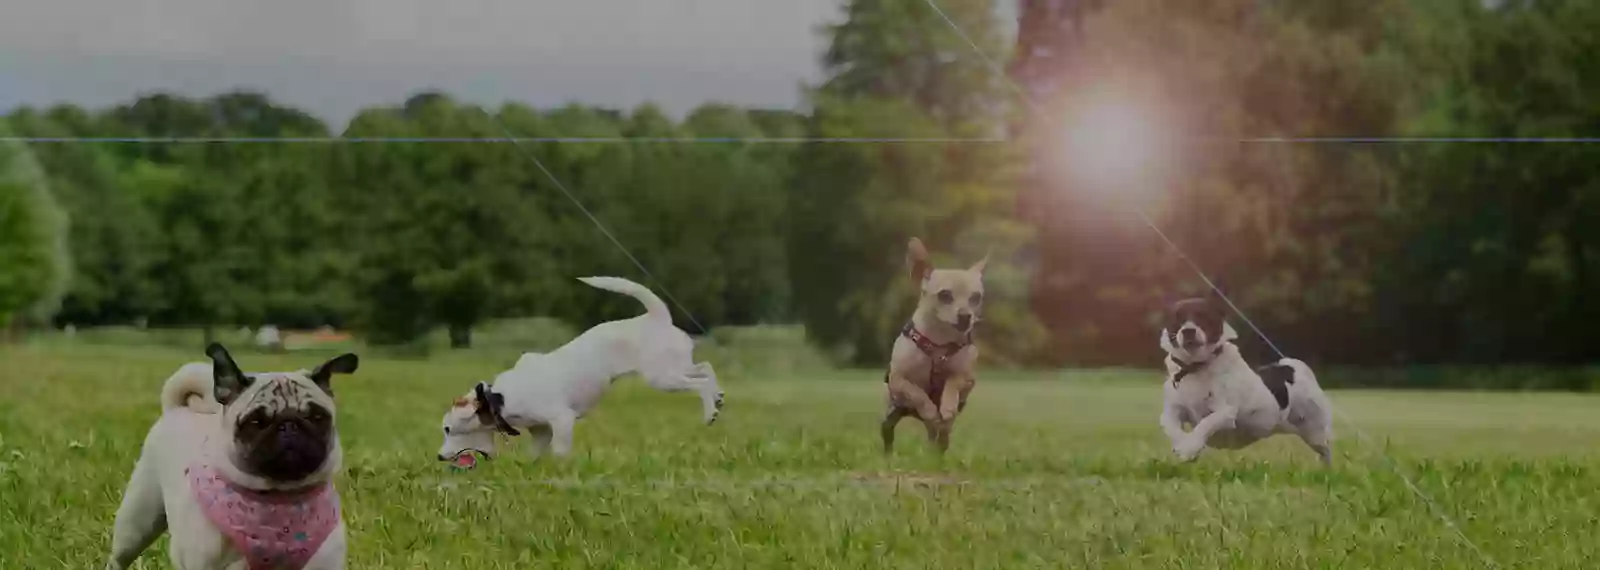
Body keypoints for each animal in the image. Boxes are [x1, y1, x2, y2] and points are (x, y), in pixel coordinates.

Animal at [109, 342, 363, 570]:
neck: (278, 497)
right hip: (137, 523)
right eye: (256, 422)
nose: (289, 425)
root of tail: (177, 409)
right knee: (119, 557)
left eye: (318, 417)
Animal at [432, 276, 720, 464]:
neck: (498, 400)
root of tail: (657, 316)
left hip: (663, 378)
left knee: (701, 382)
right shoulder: (541, 431)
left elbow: (559, 451)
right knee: (706, 368)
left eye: (447, 429)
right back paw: (718, 398)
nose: (439, 457)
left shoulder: (562, 420)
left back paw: (710, 413)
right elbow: (534, 454)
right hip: (674, 369)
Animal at [1158, 294, 1331, 464]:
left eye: (1203, 315)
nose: (1188, 330)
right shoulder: (1173, 409)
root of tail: (1291, 366)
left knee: (1325, 450)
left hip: (1315, 428)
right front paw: (1184, 445)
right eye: (1177, 318)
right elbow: (1171, 425)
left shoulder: (1226, 411)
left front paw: (1190, 447)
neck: (1195, 367)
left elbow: (1206, 422)